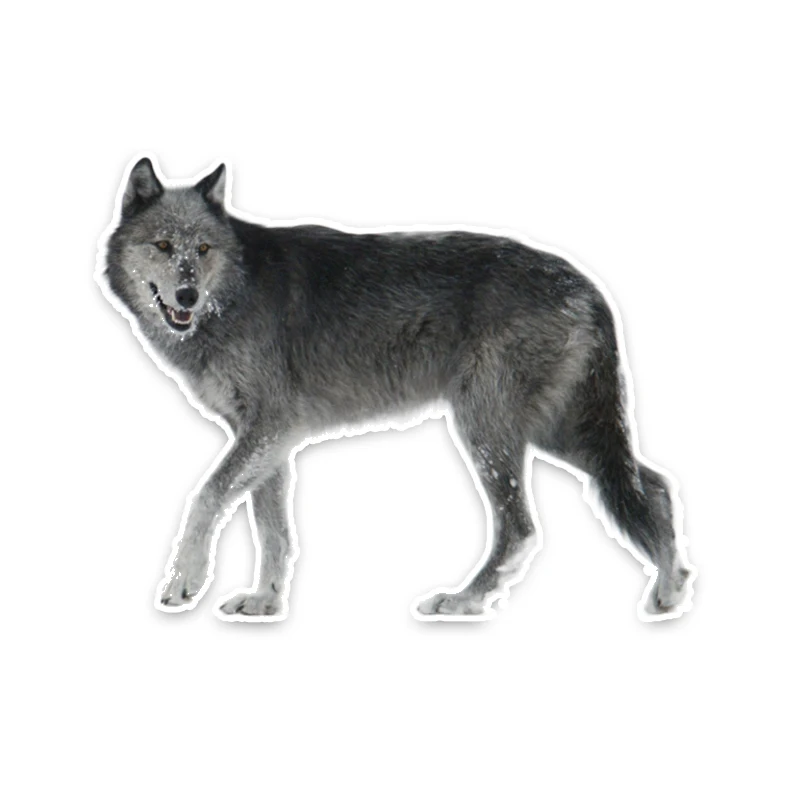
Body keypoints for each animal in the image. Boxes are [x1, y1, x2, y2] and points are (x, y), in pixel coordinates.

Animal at [97, 157, 694, 622]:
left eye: (201, 250)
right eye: (163, 245)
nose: (188, 296)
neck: (236, 291)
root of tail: (588, 285)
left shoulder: (268, 428)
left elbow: (205, 497)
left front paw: (183, 581)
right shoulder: (268, 439)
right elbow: (273, 532)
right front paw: (265, 603)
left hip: (490, 431)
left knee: (522, 527)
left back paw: (463, 602)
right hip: (559, 434)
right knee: (656, 486)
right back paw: (669, 593)